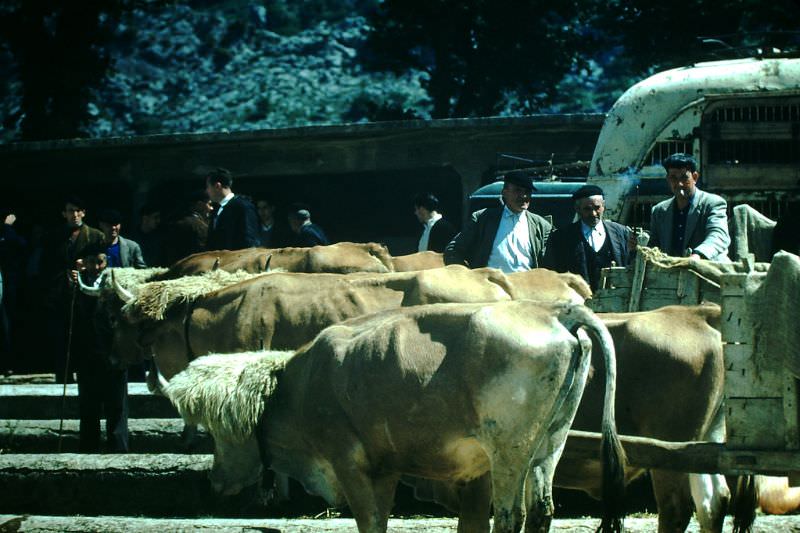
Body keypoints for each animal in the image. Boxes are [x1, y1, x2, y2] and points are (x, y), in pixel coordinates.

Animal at [162, 300, 624, 532]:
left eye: (219, 431)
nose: (214, 481)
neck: (299, 388)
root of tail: (553, 311)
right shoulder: (385, 467)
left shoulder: (348, 461)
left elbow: (370, 521)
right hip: (548, 445)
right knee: (541, 510)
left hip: (509, 452)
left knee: (513, 516)